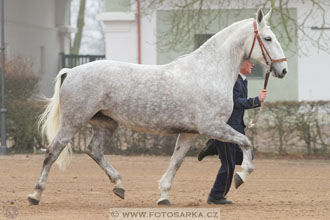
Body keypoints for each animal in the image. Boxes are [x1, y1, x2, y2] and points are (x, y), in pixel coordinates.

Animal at [27, 7, 286, 206]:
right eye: (268, 38)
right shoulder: (212, 127)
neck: (208, 72)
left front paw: (163, 195)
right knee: (53, 151)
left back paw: (119, 185)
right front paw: (241, 176)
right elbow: (245, 142)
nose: (283, 70)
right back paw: (35, 194)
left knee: (94, 150)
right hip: (73, 122)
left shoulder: (190, 133)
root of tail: (71, 72)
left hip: (105, 123)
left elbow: (176, 161)